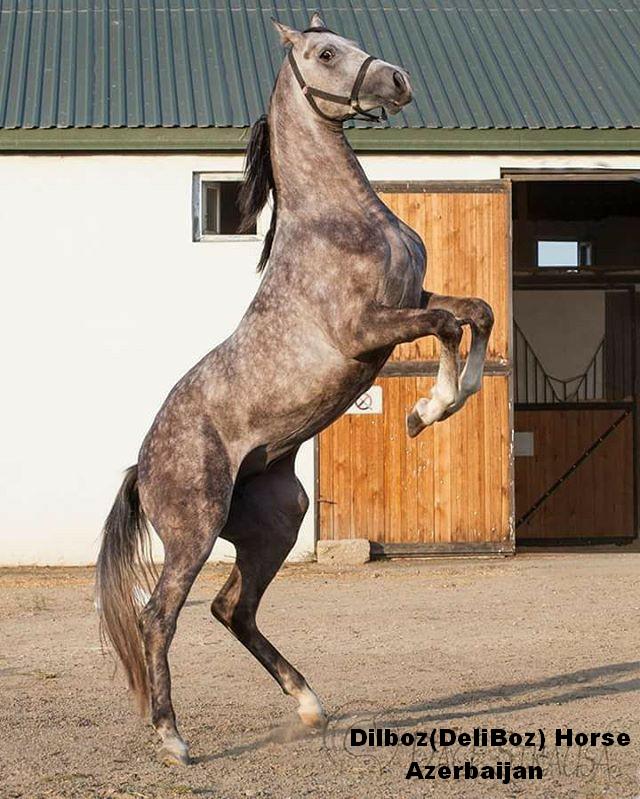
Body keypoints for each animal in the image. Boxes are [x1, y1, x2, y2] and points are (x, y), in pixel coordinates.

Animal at [96, 12, 494, 766]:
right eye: (325, 52)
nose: (398, 81)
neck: (339, 222)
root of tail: (141, 466)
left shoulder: (413, 300)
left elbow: (473, 314)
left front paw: (430, 411)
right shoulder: (368, 329)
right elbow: (451, 324)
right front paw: (428, 408)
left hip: (279, 519)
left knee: (233, 608)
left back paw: (310, 706)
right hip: (194, 531)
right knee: (160, 615)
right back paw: (174, 738)